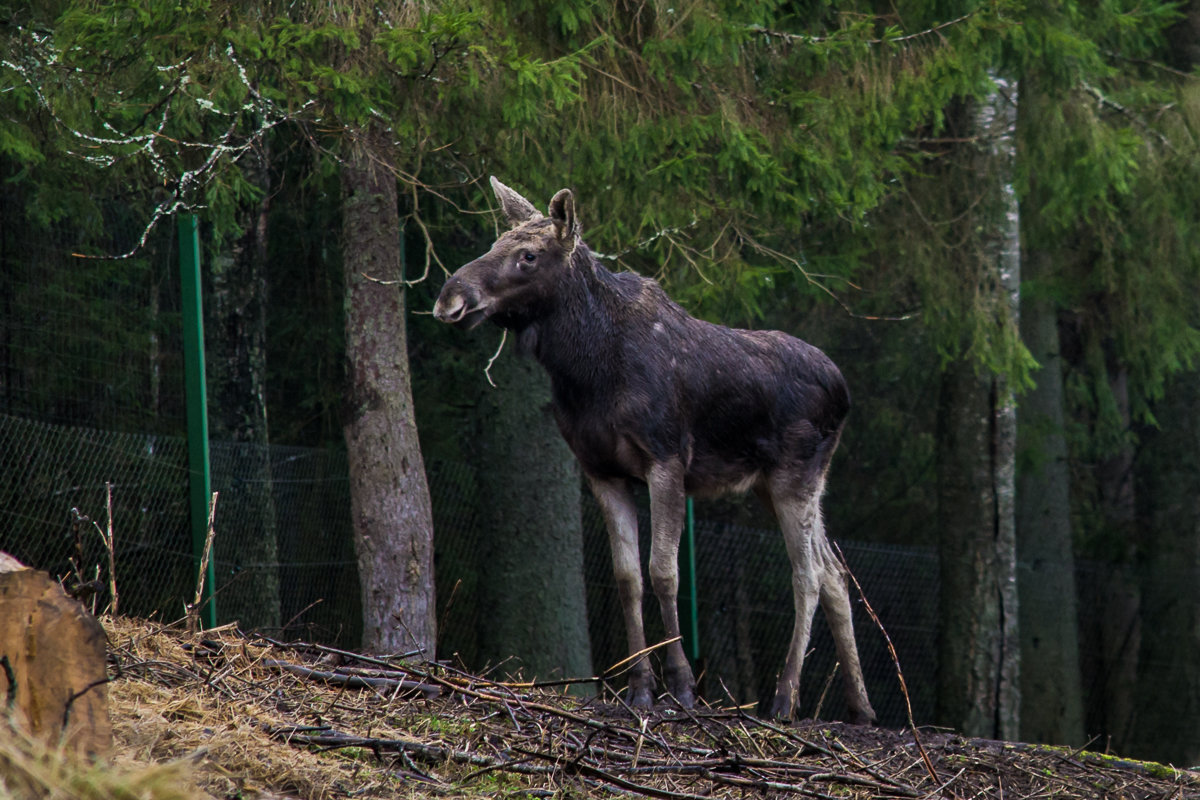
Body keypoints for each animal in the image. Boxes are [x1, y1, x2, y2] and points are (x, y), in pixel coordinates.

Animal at [436, 179, 878, 724]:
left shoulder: (665, 459)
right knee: (835, 572)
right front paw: (639, 687)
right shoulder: (600, 470)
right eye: (496, 242)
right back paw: (860, 707)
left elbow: (664, 572)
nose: (451, 297)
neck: (587, 371)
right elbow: (627, 577)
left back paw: (783, 698)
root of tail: (845, 391)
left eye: (528, 255)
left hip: (796, 474)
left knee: (809, 574)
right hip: (775, 484)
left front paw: (683, 687)